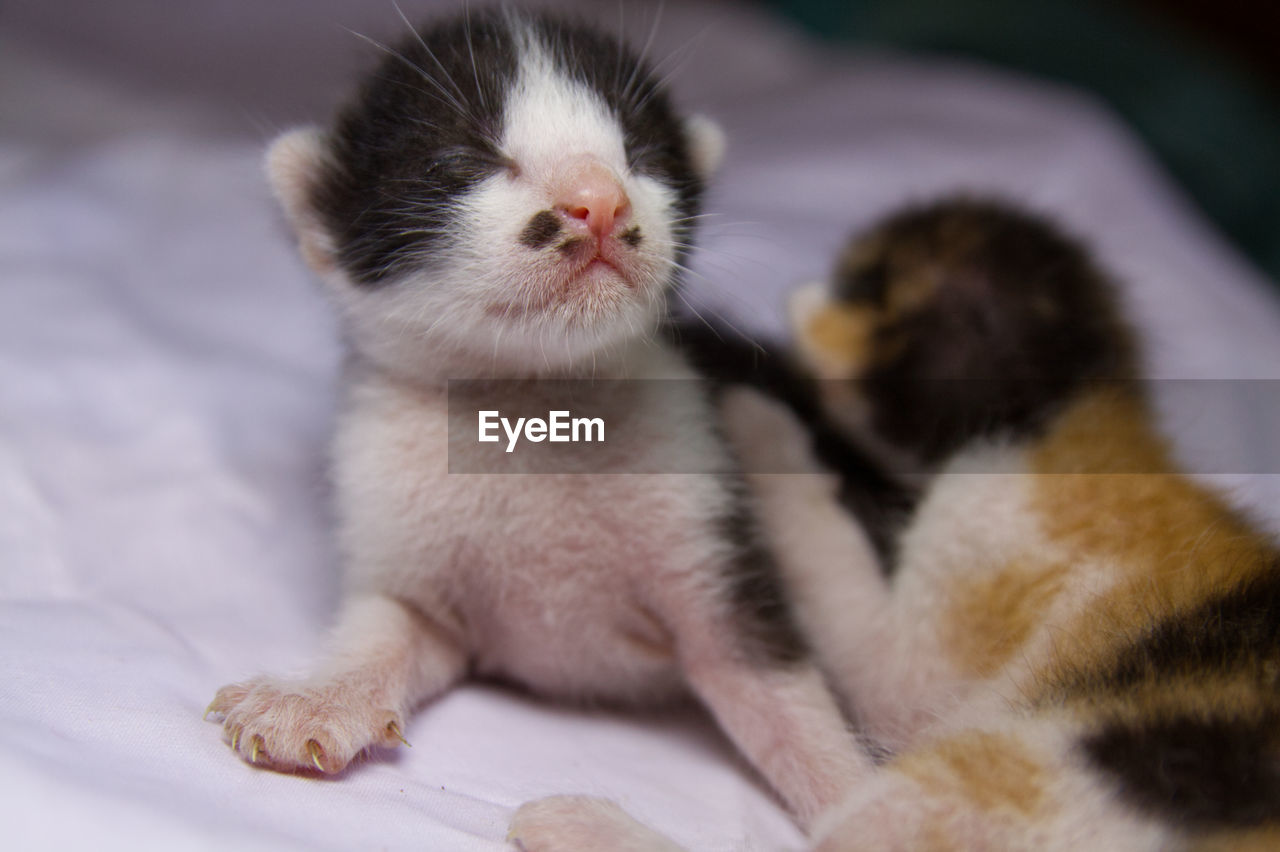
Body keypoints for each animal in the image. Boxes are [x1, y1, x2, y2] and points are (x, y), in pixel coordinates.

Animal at [207, 4, 870, 828]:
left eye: (642, 154)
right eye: (465, 161)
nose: (600, 198)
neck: (533, 402)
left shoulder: (708, 523)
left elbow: (783, 697)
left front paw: (874, 804)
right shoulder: (402, 532)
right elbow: (386, 626)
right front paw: (316, 699)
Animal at [514, 195, 1280, 844]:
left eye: (860, 286)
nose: (799, 301)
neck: (1067, 407)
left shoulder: (994, 515)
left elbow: (887, 672)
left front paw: (758, 419)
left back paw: (582, 826)